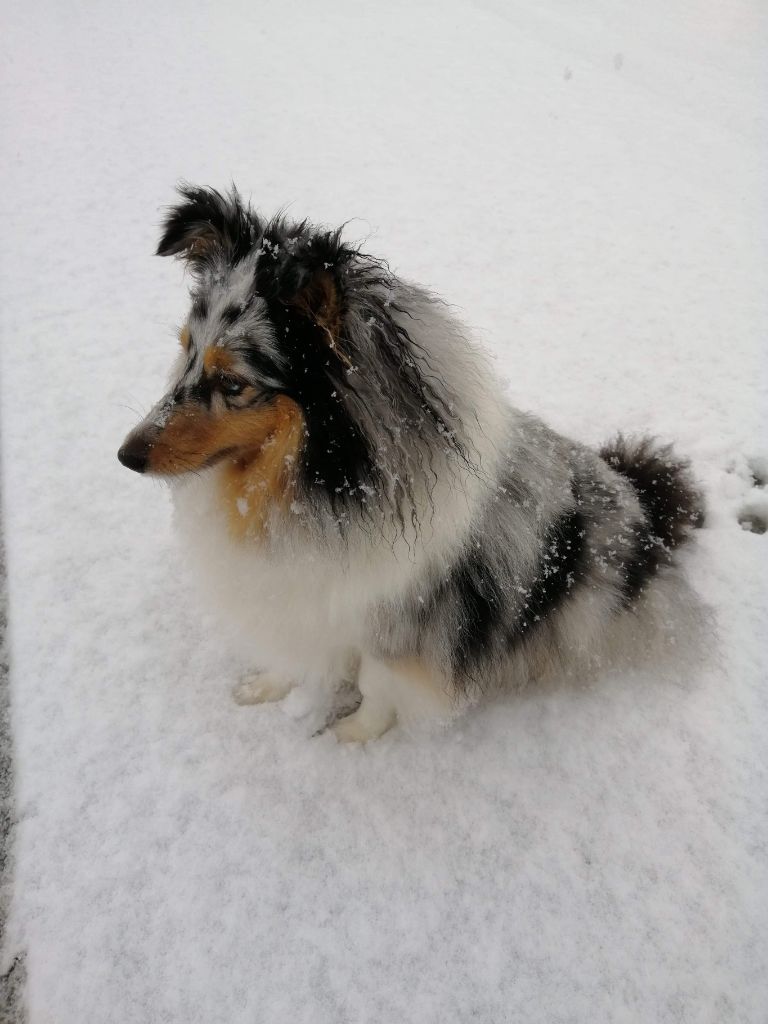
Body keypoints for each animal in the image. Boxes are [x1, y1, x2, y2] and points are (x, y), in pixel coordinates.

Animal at [118, 186, 704, 745]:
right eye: (186, 350)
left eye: (234, 383)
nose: (126, 456)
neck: (301, 487)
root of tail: (644, 507)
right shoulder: (300, 597)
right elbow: (299, 653)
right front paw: (266, 687)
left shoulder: (405, 621)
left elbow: (379, 685)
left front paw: (352, 738)